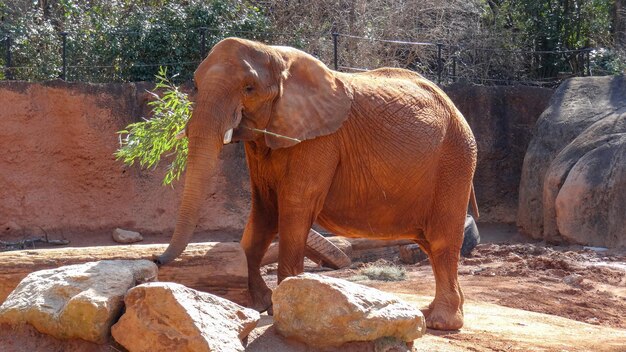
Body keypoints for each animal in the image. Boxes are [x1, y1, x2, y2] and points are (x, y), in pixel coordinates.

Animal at [155, 37, 478, 330]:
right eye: (196, 85)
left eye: (249, 88)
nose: (158, 260)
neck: (276, 55)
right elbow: (264, 212)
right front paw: (260, 302)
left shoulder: (320, 141)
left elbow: (294, 206)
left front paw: (282, 309)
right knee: (429, 243)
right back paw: (435, 311)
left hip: (456, 159)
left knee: (442, 240)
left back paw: (442, 322)